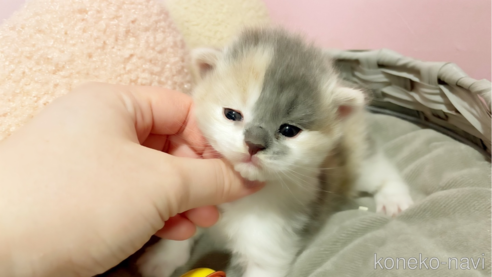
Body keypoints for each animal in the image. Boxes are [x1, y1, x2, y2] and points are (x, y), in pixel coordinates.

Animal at [137, 27, 412, 276]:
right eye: (232, 114)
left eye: (289, 130)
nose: (254, 145)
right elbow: (184, 232)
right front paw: (159, 259)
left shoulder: (269, 247)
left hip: (359, 163)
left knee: (380, 169)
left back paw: (396, 200)